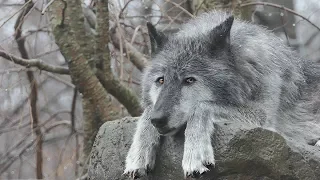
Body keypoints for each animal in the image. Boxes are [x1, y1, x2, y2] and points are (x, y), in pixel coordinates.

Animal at [124, 10, 320, 179]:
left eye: (189, 80)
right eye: (161, 80)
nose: (158, 120)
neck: (246, 72)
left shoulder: (263, 116)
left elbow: (202, 106)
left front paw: (194, 154)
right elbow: (147, 111)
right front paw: (137, 155)